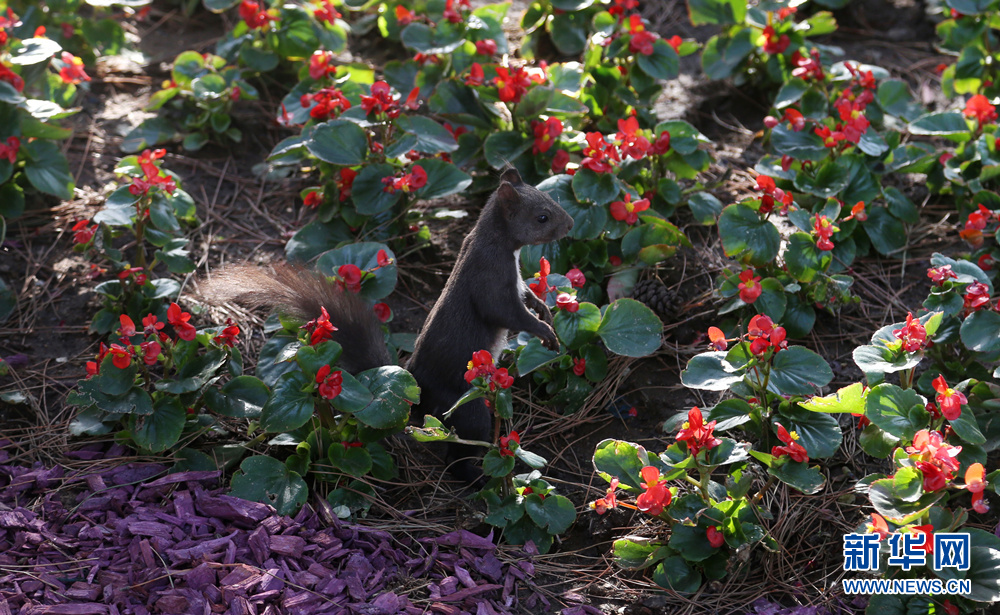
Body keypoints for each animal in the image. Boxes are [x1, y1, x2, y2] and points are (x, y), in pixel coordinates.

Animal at [200, 166, 576, 484]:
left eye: (550, 199)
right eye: (542, 217)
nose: (571, 225)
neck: (500, 243)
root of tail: (419, 394)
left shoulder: (515, 280)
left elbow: (526, 295)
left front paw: (543, 309)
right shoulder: (490, 278)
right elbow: (505, 313)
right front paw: (545, 333)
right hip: (466, 407)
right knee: (459, 450)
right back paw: (475, 477)